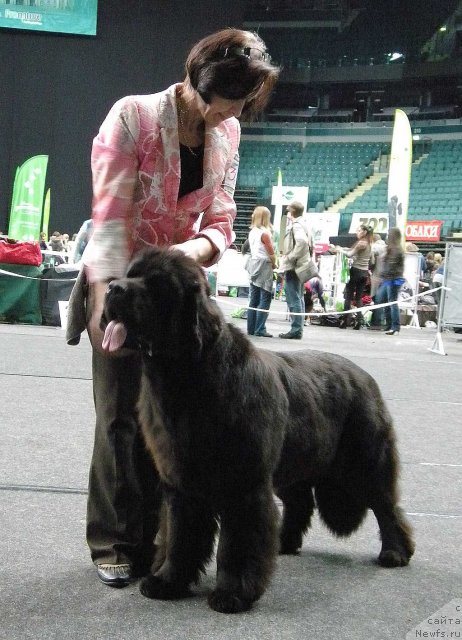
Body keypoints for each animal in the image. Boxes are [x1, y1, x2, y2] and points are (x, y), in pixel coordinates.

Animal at [103, 246, 414, 616]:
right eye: (130, 274)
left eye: (157, 284)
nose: (112, 288)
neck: (186, 378)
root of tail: (365, 376)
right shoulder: (180, 482)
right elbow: (180, 534)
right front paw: (168, 581)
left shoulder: (244, 486)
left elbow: (237, 543)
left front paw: (232, 593)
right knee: (300, 503)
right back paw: (283, 544)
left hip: (365, 461)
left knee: (386, 506)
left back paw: (395, 552)